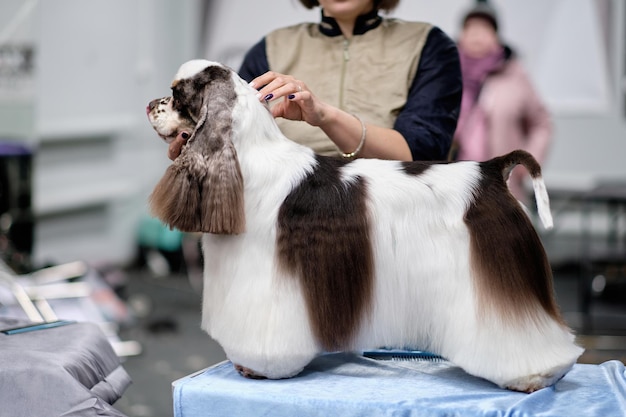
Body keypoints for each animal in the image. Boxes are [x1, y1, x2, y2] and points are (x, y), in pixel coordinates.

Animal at [145, 59, 580, 394]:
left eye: (177, 93)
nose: (150, 104)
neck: (247, 158)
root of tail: (491, 169)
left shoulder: (269, 278)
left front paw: (261, 368)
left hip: (497, 273)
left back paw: (533, 375)